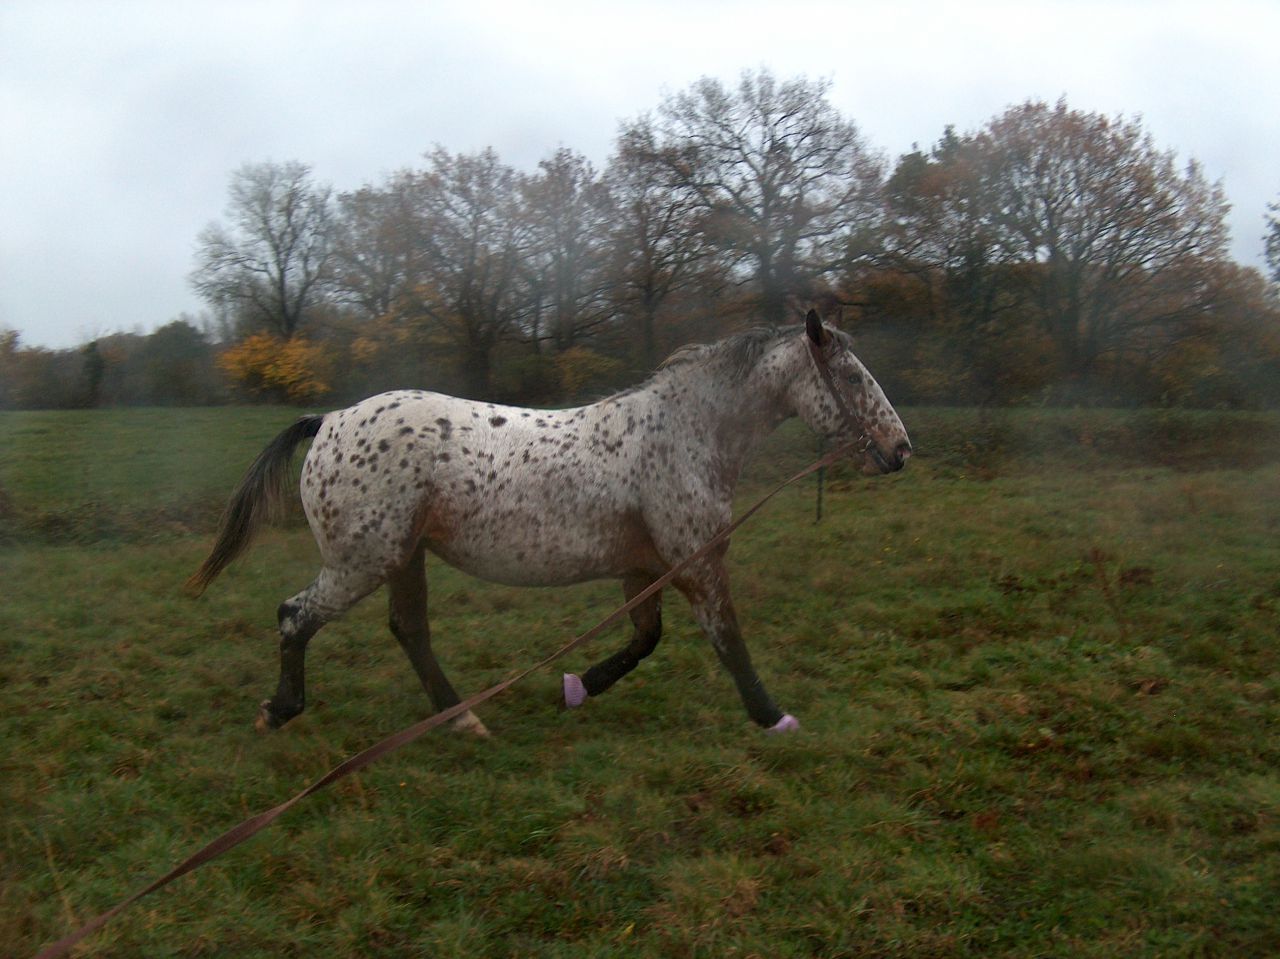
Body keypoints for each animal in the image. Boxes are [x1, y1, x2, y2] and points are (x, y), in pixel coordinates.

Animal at [187, 310, 911, 736]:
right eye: (851, 376)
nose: (900, 448)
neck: (684, 433)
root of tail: (330, 421)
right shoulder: (696, 562)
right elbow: (728, 638)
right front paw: (773, 717)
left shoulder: (644, 567)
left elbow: (645, 640)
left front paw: (575, 687)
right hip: (362, 561)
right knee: (295, 616)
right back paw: (281, 709)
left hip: (400, 556)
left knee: (408, 630)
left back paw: (463, 720)